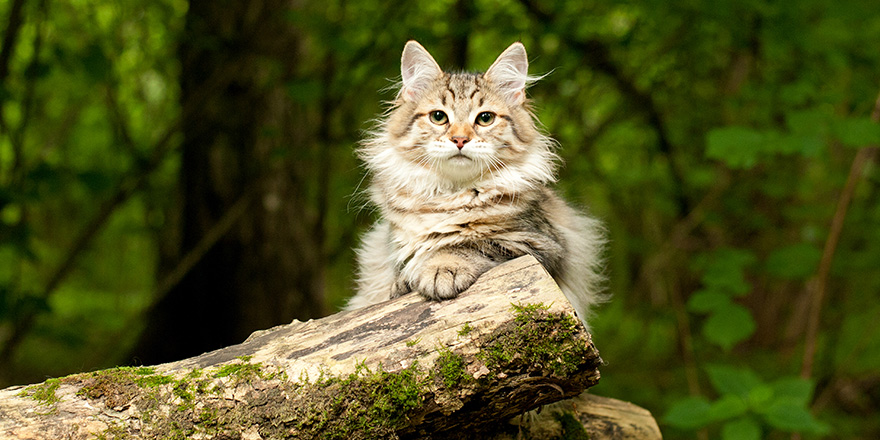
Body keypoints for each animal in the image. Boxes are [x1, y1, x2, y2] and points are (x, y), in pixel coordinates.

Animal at [344, 41, 604, 328]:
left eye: (485, 118)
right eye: (438, 117)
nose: (459, 139)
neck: (451, 195)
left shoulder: (541, 243)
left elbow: (465, 244)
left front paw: (440, 268)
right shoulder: (392, 245)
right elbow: (406, 264)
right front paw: (405, 282)